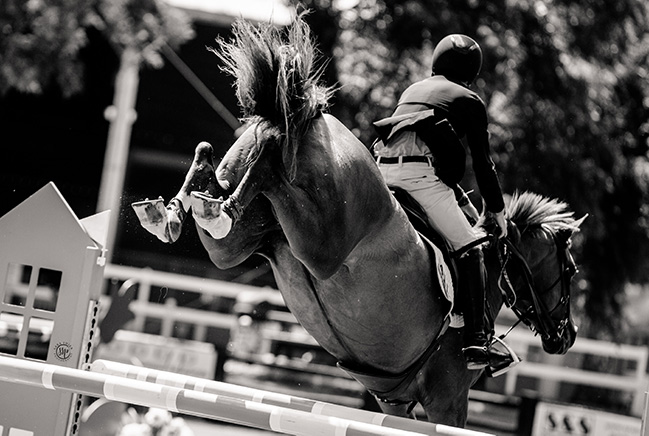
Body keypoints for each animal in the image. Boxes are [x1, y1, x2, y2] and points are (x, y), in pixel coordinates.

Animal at [130, 16, 584, 426]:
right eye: (569, 271)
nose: (567, 337)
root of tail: (291, 115)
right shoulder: (448, 396)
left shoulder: (393, 399)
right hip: (324, 248)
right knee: (277, 178)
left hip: (239, 239)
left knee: (220, 187)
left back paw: (178, 210)